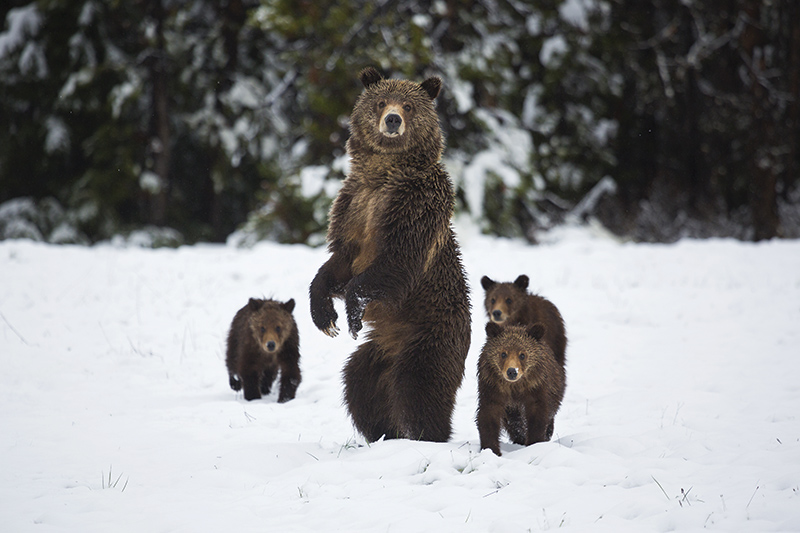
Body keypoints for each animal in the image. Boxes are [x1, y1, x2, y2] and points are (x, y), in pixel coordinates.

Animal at [309, 67, 471, 443]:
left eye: (409, 106)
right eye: (381, 102)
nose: (393, 120)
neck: (384, 174)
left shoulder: (415, 205)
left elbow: (397, 259)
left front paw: (352, 312)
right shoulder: (353, 205)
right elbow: (338, 261)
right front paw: (325, 316)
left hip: (429, 335)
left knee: (419, 388)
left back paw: (425, 434)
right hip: (378, 351)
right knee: (359, 386)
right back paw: (382, 434)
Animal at [476, 322, 566, 456]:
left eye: (522, 354)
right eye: (503, 353)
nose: (512, 371)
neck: (515, 386)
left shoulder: (536, 387)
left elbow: (538, 416)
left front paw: (535, 442)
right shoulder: (492, 387)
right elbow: (489, 415)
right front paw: (491, 449)